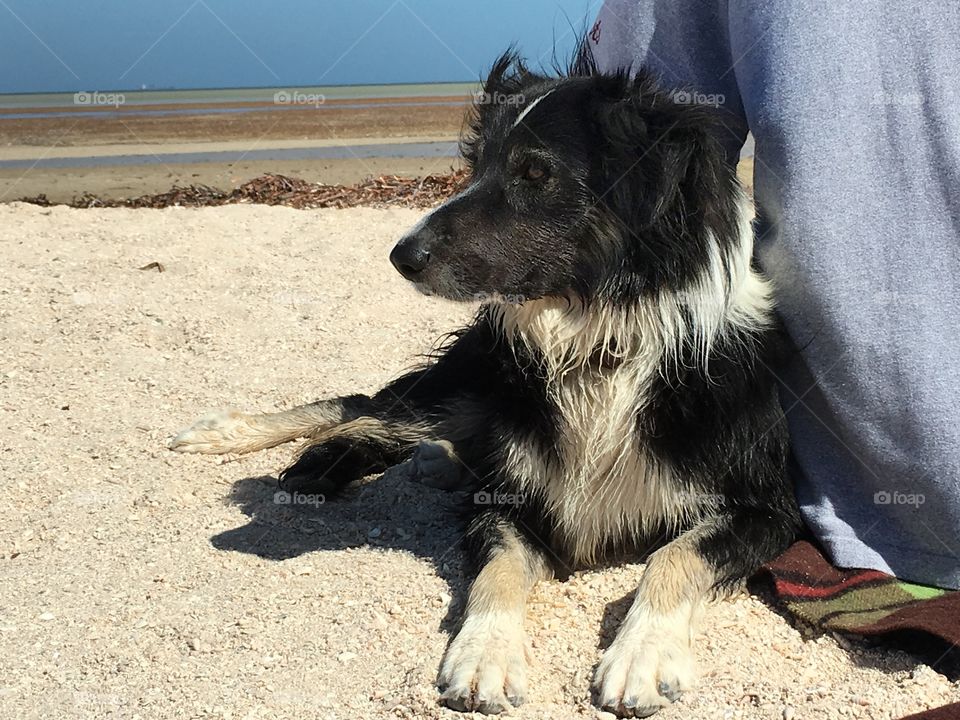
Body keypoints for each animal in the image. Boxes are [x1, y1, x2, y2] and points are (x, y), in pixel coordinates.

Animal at [172, 52, 804, 720]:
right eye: (478, 166)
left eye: (535, 172)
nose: (401, 256)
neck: (599, 345)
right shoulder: (505, 495)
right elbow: (496, 571)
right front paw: (485, 654)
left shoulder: (768, 508)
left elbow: (674, 555)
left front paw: (644, 653)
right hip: (472, 379)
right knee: (368, 405)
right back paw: (251, 438)